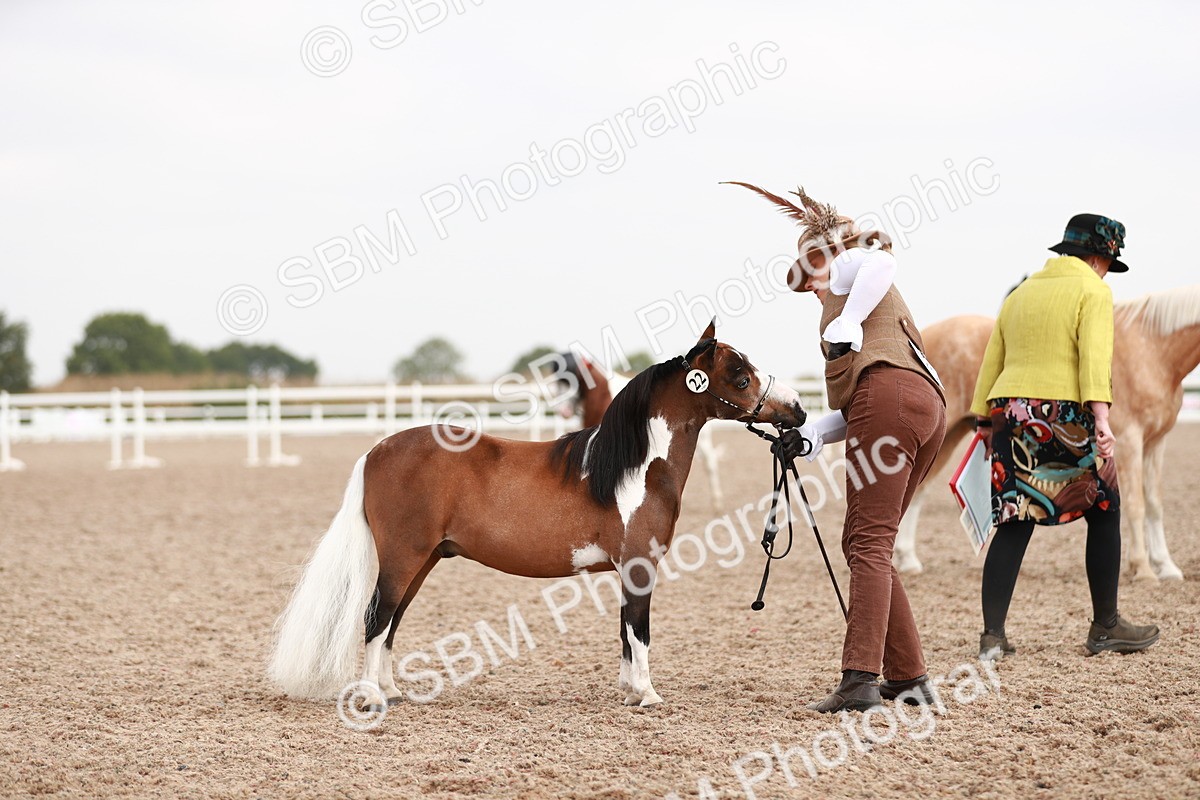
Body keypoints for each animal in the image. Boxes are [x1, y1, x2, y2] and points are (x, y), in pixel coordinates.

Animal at [893, 285, 1200, 581]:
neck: (1151, 350)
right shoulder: (1129, 441)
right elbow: (1136, 505)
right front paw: (1143, 569)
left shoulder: (1155, 443)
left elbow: (1155, 504)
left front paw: (1166, 567)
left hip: (948, 436)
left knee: (918, 490)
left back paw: (908, 560)